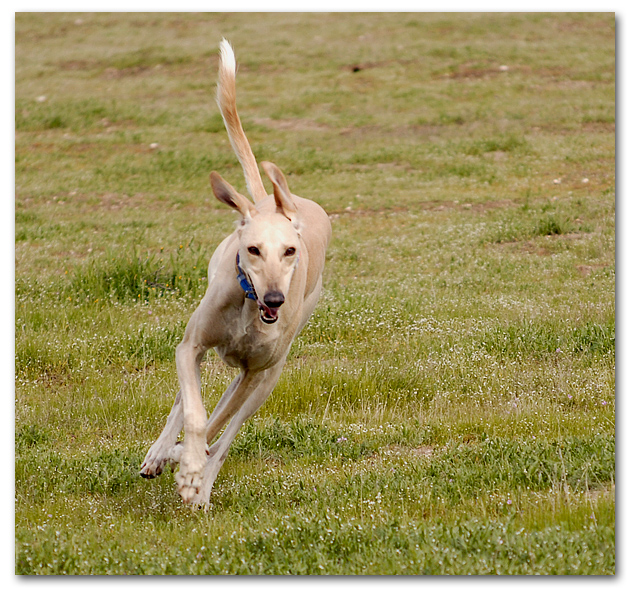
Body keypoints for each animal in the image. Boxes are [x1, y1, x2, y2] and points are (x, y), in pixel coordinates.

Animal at [139, 39, 330, 506]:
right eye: (252, 250)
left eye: (290, 251)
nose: (275, 300)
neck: (247, 306)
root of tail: (269, 201)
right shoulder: (190, 347)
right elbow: (193, 411)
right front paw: (177, 457)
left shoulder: (254, 373)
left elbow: (215, 428)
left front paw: (190, 469)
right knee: (184, 402)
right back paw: (162, 453)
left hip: (268, 377)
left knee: (228, 430)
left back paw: (199, 483)